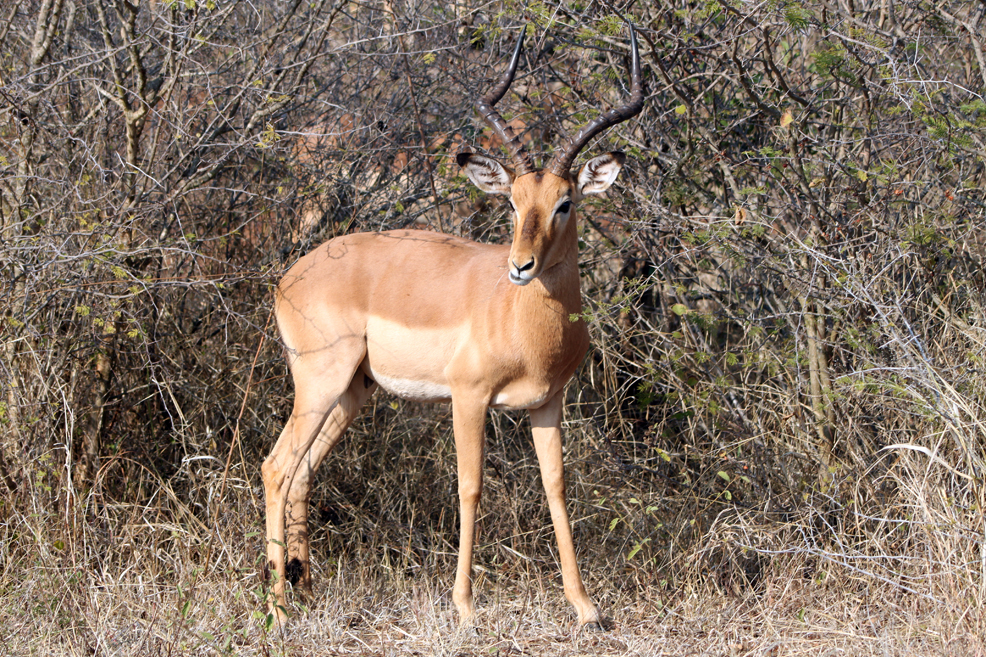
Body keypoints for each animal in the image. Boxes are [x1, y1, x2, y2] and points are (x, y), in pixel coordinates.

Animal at [262, 23, 644, 628]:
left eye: (564, 202)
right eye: (512, 202)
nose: (520, 266)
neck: (524, 322)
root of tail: (289, 277)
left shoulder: (547, 403)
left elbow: (557, 487)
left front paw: (585, 607)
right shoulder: (468, 397)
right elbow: (470, 486)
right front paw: (465, 605)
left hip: (353, 391)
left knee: (301, 470)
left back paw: (305, 591)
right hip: (320, 382)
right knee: (276, 468)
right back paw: (278, 609)